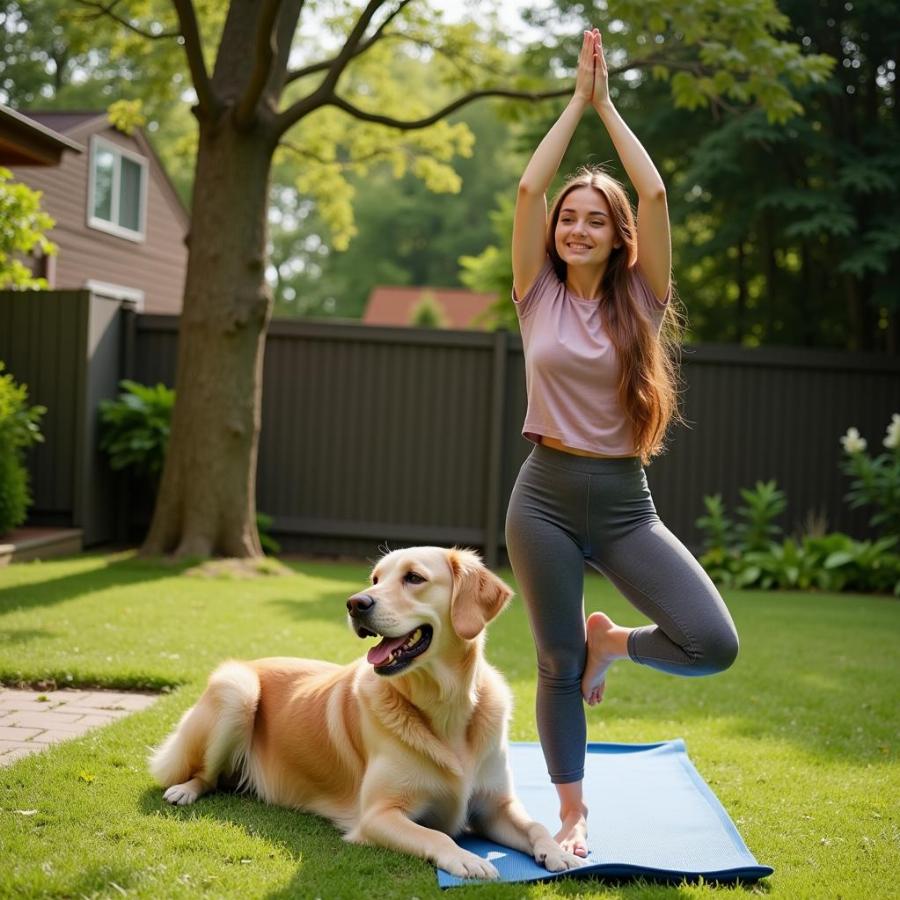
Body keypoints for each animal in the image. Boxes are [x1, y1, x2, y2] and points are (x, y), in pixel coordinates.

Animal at [149, 544, 584, 876]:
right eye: (375, 579)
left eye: (414, 578)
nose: (354, 603)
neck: (445, 705)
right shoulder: (377, 815)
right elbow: (437, 834)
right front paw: (466, 859)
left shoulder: (496, 805)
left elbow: (536, 825)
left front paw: (557, 849)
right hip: (236, 689)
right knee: (204, 774)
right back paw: (184, 790)